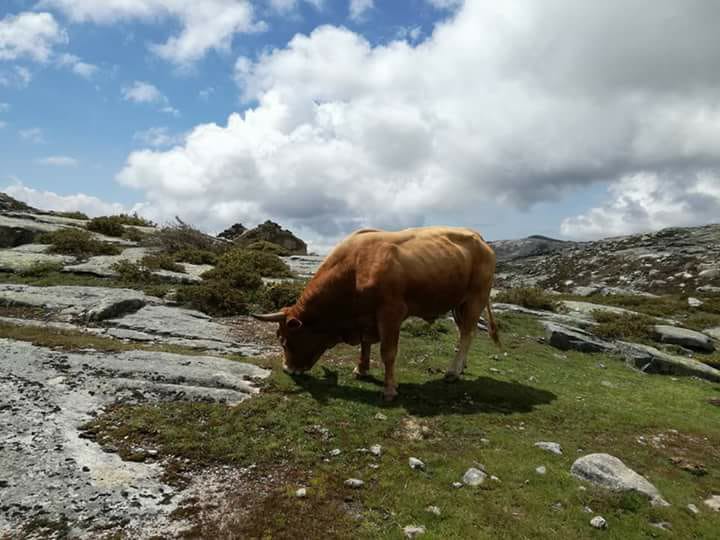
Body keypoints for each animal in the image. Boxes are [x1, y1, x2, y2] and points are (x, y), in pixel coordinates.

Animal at [255, 226, 500, 398]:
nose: (287, 369)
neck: (354, 269)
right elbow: (365, 345)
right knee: (465, 333)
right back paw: (461, 367)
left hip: (475, 298)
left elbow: (388, 352)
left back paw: (452, 372)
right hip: (458, 304)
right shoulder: (366, 319)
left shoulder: (391, 312)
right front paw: (361, 369)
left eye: (284, 340)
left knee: (467, 334)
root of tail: (479, 238)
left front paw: (389, 389)